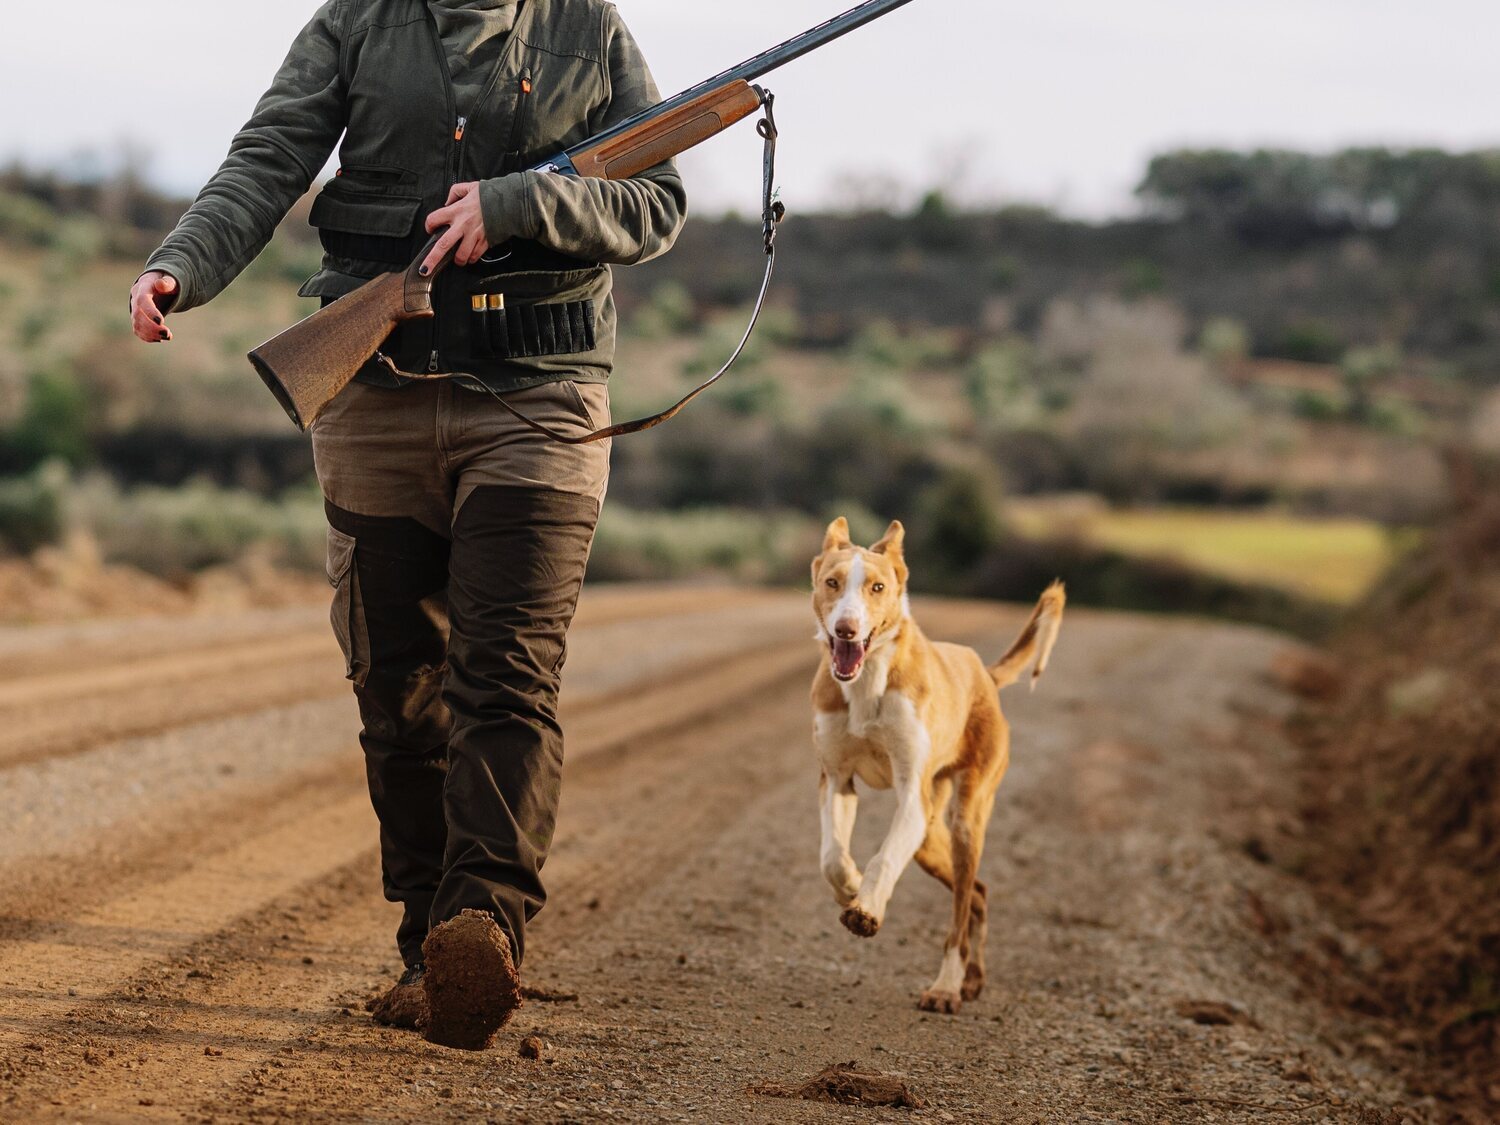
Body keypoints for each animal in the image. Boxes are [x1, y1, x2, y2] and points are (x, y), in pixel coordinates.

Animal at [810, 519, 1068, 1014]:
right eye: (832, 582)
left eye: (877, 587)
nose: (847, 630)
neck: (868, 681)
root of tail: (984, 673)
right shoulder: (837, 780)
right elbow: (832, 856)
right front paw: (850, 886)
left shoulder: (911, 795)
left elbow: (883, 858)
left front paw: (866, 908)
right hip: (929, 837)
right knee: (979, 895)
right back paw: (972, 980)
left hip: (963, 819)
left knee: (961, 909)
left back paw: (947, 987)